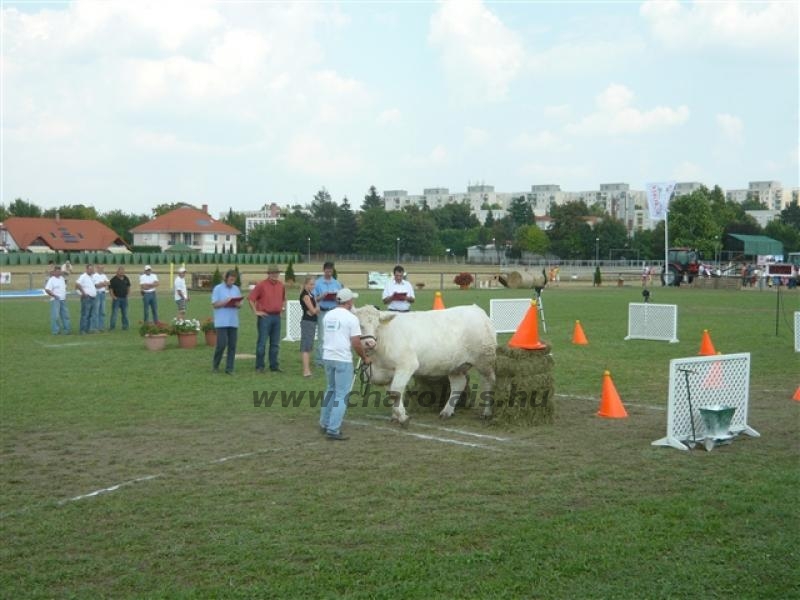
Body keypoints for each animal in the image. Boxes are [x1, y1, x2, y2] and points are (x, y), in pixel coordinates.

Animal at [354, 304, 496, 422]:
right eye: (359, 325)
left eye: (377, 326)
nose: (370, 343)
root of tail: (476, 309)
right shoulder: (386, 373)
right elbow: (391, 394)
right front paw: (395, 416)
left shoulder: (407, 365)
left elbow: (396, 391)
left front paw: (402, 417)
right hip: (455, 366)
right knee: (459, 384)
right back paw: (446, 412)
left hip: (485, 361)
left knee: (488, 383)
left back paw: (487, 412)